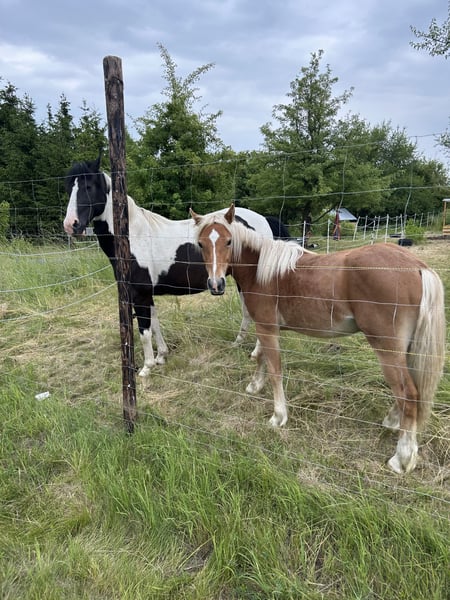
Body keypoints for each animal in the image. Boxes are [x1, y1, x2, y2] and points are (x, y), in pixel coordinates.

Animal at [63, 157, 285, 376]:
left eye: (89, 186)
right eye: (69, 187)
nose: (71, 224)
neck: (133, 237)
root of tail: (264, 220)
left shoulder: (139, 294)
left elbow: (144, 331)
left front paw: (146, 368)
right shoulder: (146, 294)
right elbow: (155, 325)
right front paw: (161, 356)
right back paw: (240, 345)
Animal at [191, 204, 446, 474]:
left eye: (229, 241)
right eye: (201, 244)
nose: (215, 284)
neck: (261, 269)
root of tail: (417, 266)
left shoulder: (268, 329)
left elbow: (275, 369)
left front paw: (278, 416)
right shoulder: (264, 327)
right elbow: (260, 358)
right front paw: (254, 386)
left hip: (386, 349)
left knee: (408, 393)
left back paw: (402, 458)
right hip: (403, 350)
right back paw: (392, 422)